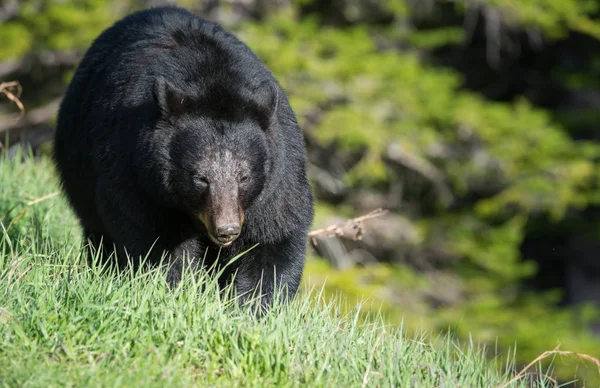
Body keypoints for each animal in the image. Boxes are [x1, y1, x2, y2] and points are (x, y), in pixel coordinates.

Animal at [52, 6, 314, 310]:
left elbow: (273, 239)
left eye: (244, 177)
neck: (213, 81)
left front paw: (255, 306)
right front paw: (177, 295)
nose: (226, 229)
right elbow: (159, 245)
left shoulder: (278, 176)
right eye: (200, 178)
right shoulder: (136, 174)